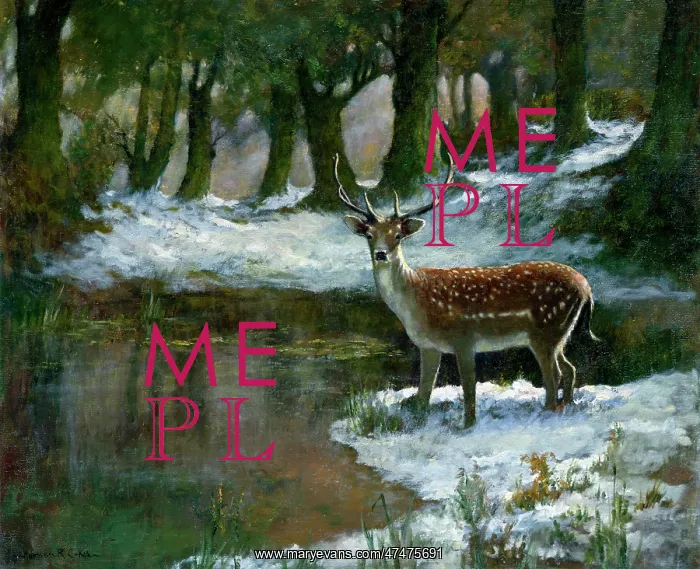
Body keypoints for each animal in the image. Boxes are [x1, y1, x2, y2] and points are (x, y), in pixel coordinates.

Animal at [337, 155, 599, 428]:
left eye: (398, 235)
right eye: (369, 235)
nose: (380, 254)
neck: (416, 302)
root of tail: (587, 288)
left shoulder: (463, 337)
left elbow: (468, 387)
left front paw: (468, 425)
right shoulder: (428, 346)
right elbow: (424, 392)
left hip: (546, 329)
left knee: (553, 375)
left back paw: (547, 413)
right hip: (559, 334)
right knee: (570, 368)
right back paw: (566, 406)